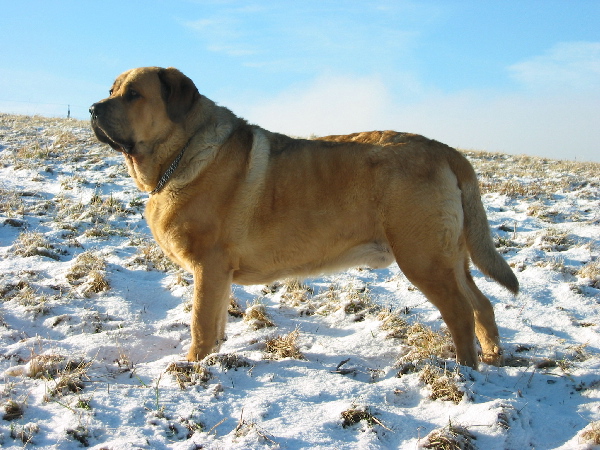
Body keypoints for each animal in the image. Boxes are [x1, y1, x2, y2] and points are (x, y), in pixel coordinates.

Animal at [89, 67, 516, 370]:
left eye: (133, 95)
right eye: (111, 91)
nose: (92, 108)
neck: (182, 152)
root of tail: (448, 151)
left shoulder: (208, 265)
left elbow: (201, 322)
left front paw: (194, 365)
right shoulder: (218, 274)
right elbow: (217, 321)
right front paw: (213, 360)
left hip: (423, 257)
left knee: (460, 311)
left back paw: (464, 369)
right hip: (451, 256)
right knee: (482, 304)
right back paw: (492, 357)